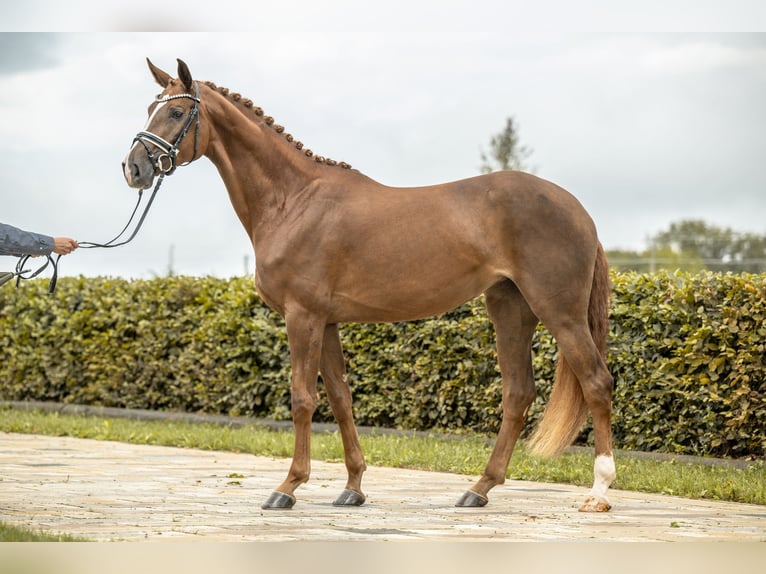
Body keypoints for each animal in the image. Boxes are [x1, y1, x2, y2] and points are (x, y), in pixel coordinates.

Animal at [124, 60, 616, 516]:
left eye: (176, 111)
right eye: (150, 108)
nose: (133, 168)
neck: (293, 201)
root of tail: (579, 210)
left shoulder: (302, 317)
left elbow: (303, 398)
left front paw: (288, 487)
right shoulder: (326, 322)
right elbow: (341, 399)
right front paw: (353, 487)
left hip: (560, 312)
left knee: (596, 381)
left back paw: (598, 492)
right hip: (510, 308)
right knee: (518, 393)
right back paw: (479, 489)